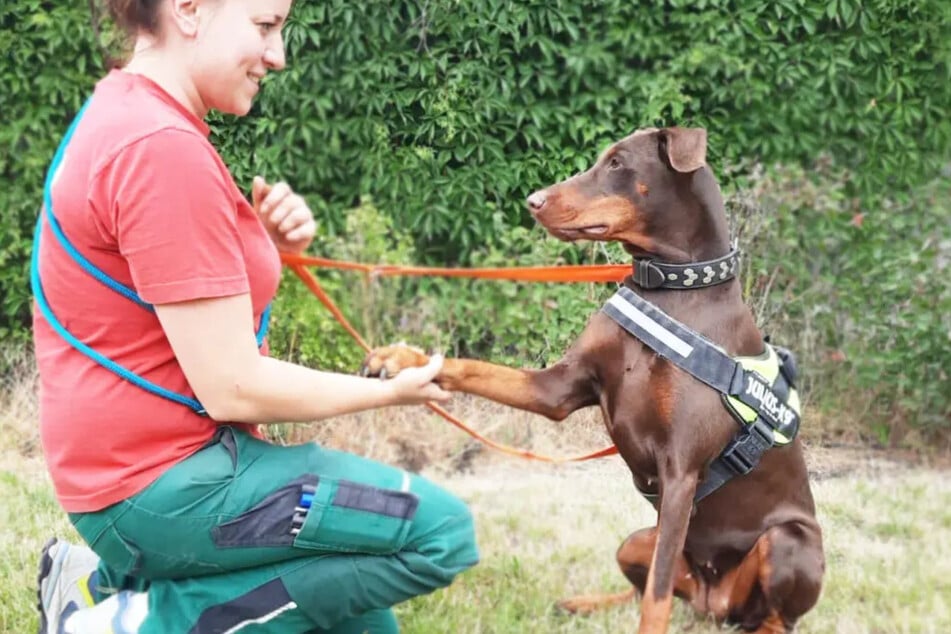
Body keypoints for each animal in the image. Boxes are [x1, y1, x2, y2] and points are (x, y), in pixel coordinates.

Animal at [360, 126, 820, 628]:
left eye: (618, 163)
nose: (533, 200)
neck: (670, 292)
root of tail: (713, 604)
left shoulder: (681, 471)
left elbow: (657, 597)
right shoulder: (557, 388)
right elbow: (475, 368)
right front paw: (401, 359)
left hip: (789, 541)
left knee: (773, 617)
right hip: (637, 540)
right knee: (650, 584)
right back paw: (585, 603)